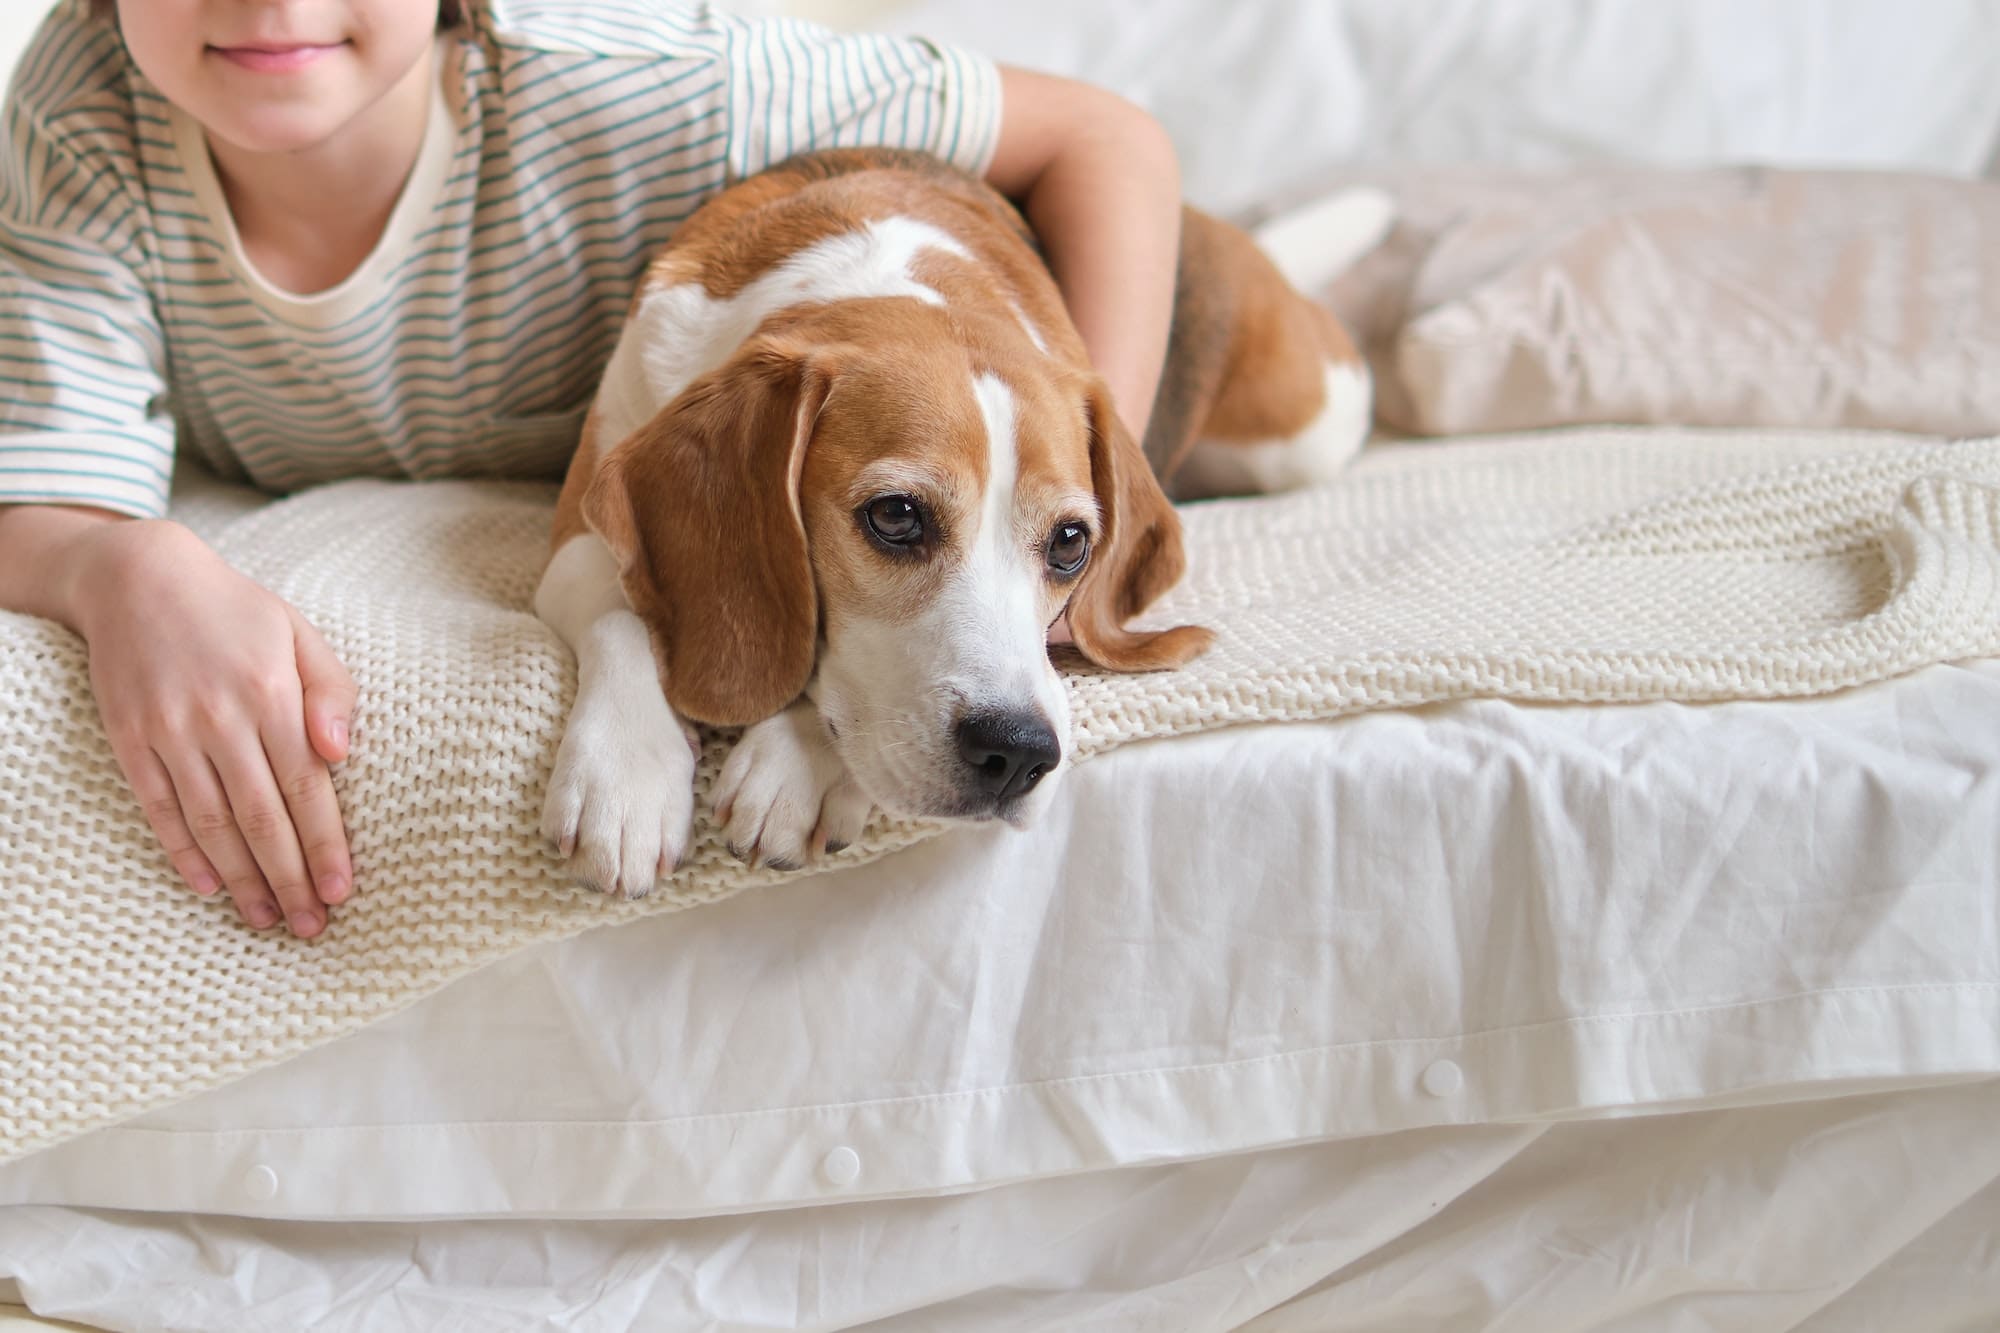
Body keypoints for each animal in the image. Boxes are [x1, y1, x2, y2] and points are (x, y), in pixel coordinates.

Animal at [532, 148, 1392, 892]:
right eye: (896, 516)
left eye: (1071, 543)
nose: (1019, 754)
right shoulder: (582, 518)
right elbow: (619, 610)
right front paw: (628, 774)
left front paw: (800, 760)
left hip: (1302, 430)